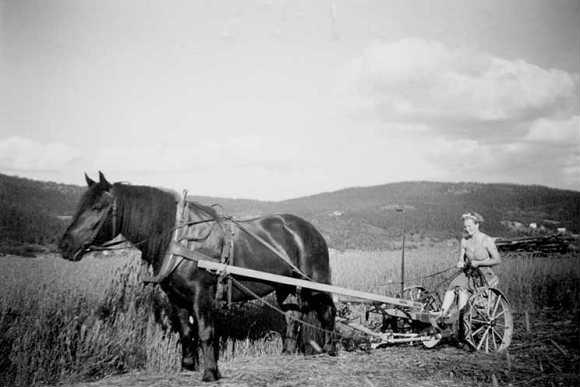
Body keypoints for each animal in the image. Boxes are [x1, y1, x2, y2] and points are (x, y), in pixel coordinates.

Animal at [58, 172, 336, 382]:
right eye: (80, 206)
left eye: (97, 207)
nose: (64, 245)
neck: (178, 239)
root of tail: (308, 229)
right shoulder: (176, 297)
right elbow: (185, 332)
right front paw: (187, 366)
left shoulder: (201, 294)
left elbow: (204, 331)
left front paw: (211, 373)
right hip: (284, 286)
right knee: (292, 316)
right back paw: (287, 353)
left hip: (315, 280)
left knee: (327, 311)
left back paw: (331, 350)